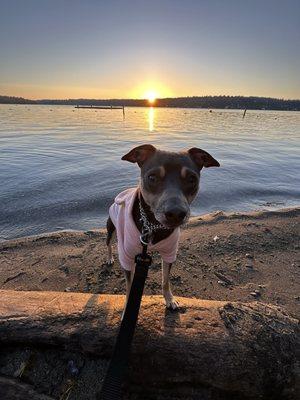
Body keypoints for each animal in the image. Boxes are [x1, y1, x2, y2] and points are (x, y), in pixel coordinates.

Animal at [106, 144, 219, 310]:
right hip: (111, 229)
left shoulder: (170, 252)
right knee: (108, 244)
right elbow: (129, 285)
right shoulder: (126, 256)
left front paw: (169, 299)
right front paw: (128, 305)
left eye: (192, 179)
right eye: (152, 178)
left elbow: (166, 279)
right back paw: (109, 258)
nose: (176, 213)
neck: (152, 225)